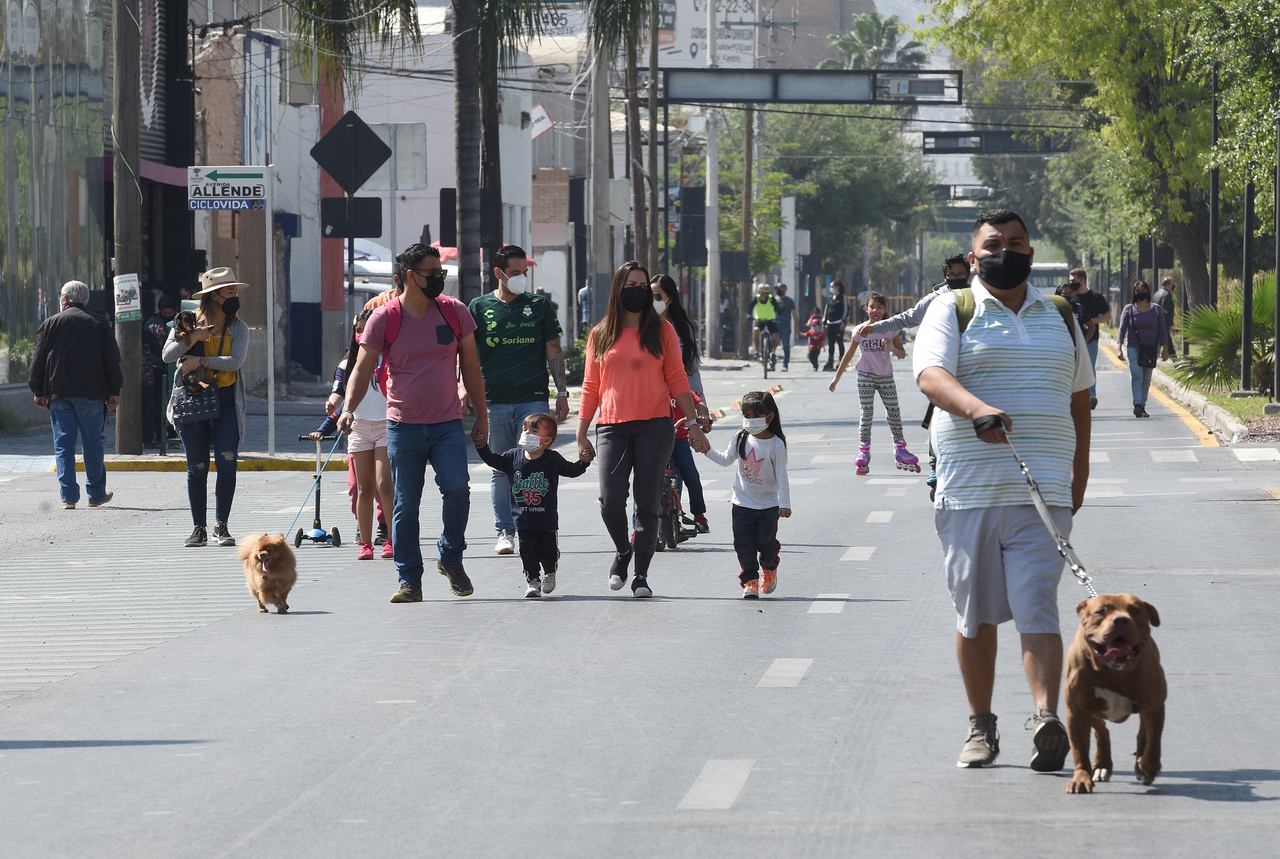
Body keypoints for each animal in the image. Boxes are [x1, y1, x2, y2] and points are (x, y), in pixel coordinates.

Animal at [1064, 594, 1167, 798]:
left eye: (1135, 610)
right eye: (1100, 612)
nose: (1121, 620)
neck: (1113, 672)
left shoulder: (1154, 707)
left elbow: (1153, 743)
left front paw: (1148, 767)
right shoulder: (1076, 711)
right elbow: (1079, 750)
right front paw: (1081, 778)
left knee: (1143, 734)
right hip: (1092, 711)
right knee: (1102, 731)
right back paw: (1101, 765)